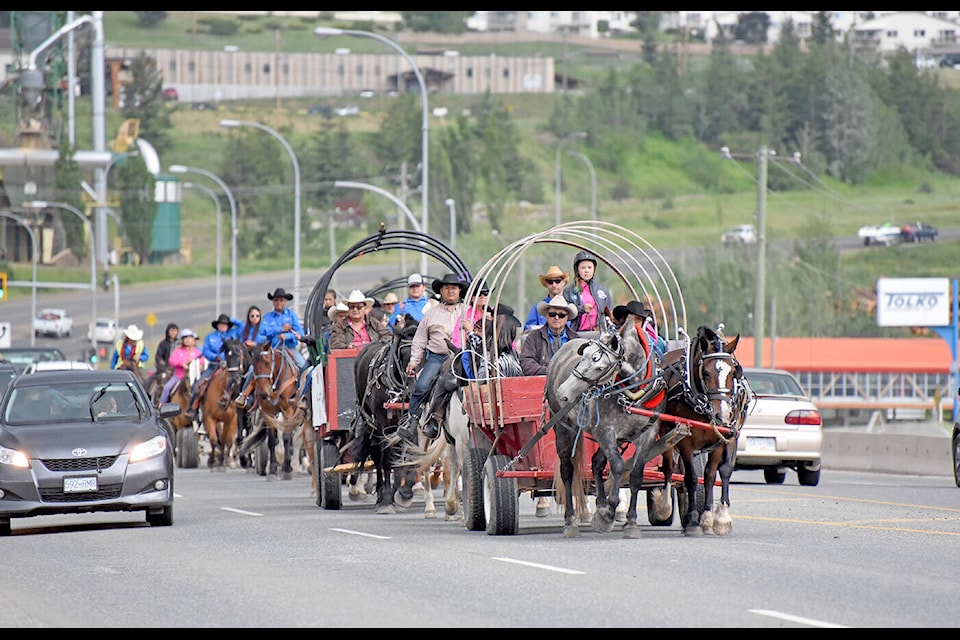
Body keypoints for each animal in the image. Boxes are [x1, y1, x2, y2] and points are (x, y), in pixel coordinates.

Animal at [644, 324, 752, 536]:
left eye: (733, 372)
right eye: (706, 373)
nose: (722, 415)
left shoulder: (724, 437)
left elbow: (714, 474)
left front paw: (716, 518)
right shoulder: (686, 441)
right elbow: (692, 478)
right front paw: (694, 520)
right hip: (667, 433)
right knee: (668, 468)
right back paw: (663, 506)